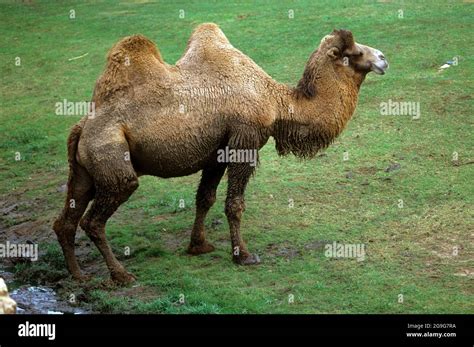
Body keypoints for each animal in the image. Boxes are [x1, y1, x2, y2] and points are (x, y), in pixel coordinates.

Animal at [52, 24, 388, 286]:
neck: (275, 101)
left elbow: (205, 198)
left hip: (84, 171)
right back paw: (121, 275)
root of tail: (81, 127)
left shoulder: (216, 152)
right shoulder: (245, 140)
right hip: (112, 159)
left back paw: (78, 275)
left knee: (65, 220)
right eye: (352, 52)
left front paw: (198, 246)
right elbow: (234, 204)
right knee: (94, 220)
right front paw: (244, 255)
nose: (383, 58)